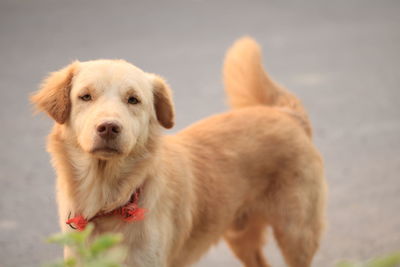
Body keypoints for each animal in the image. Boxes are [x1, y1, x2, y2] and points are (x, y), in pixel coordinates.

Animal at [30, 38, 324, 267]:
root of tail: (287, 114)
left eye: (133, 100)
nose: (109, 127)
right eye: (85, 96)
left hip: (296, 235)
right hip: (241, 237)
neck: (110, 198)